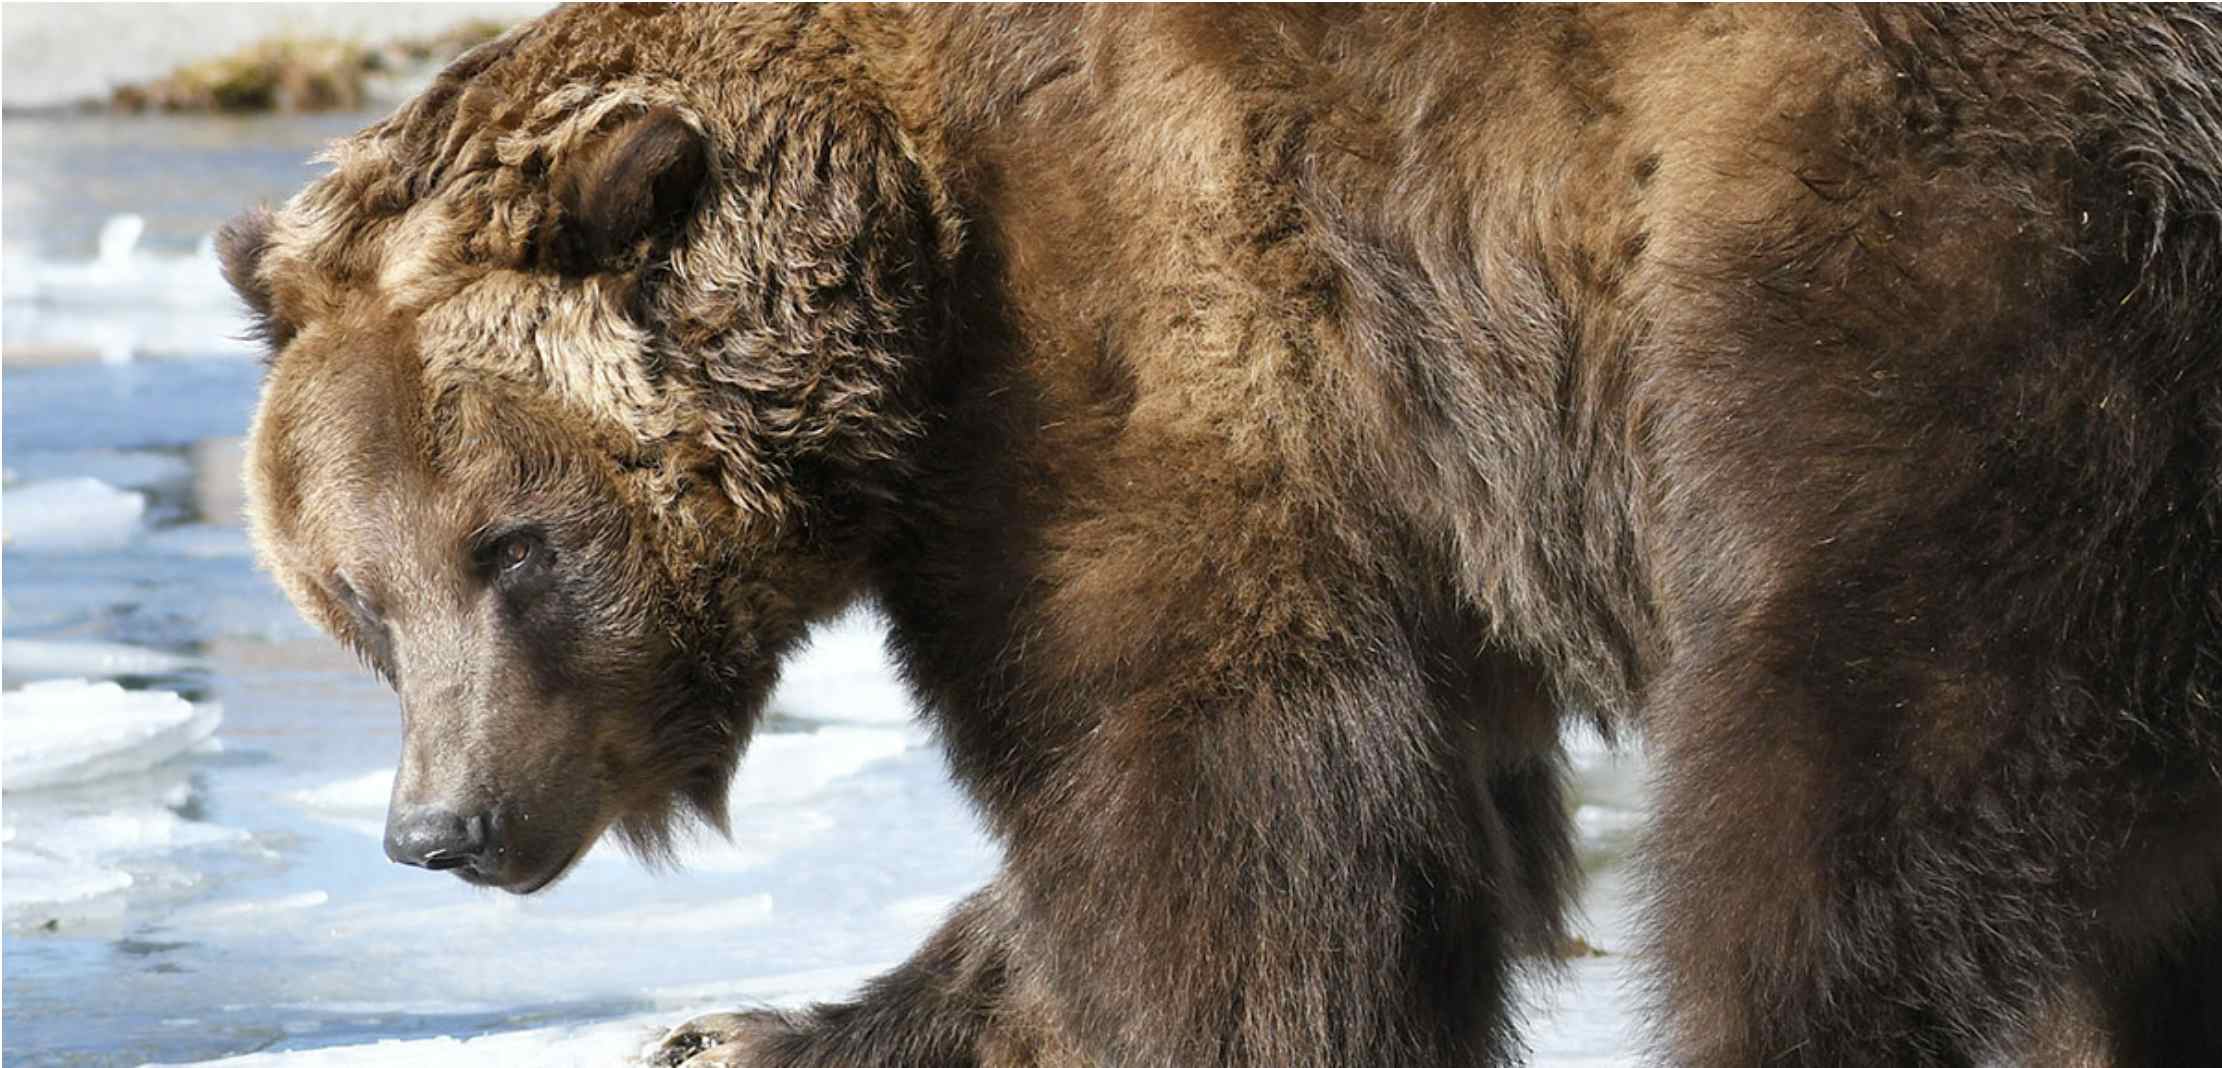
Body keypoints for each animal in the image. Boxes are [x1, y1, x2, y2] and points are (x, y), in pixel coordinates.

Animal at [221, 8, 2222, 1065]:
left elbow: (1210, 772)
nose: (441, 826)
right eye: (356, 601)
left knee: (1862, 711)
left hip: (1925, 217)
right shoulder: (1413, 477)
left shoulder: (1155, 311)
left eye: (514, 544)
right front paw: (759, 1027)